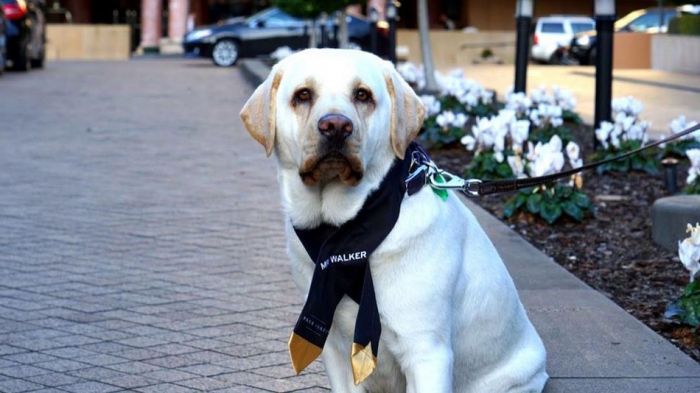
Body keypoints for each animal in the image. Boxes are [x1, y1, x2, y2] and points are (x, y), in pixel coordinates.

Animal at [241, 49, 548, 392]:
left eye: (362, 95)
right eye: (303, 95)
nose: (336, 126)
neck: (348, 231)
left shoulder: (427, 353)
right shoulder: (334, 347)